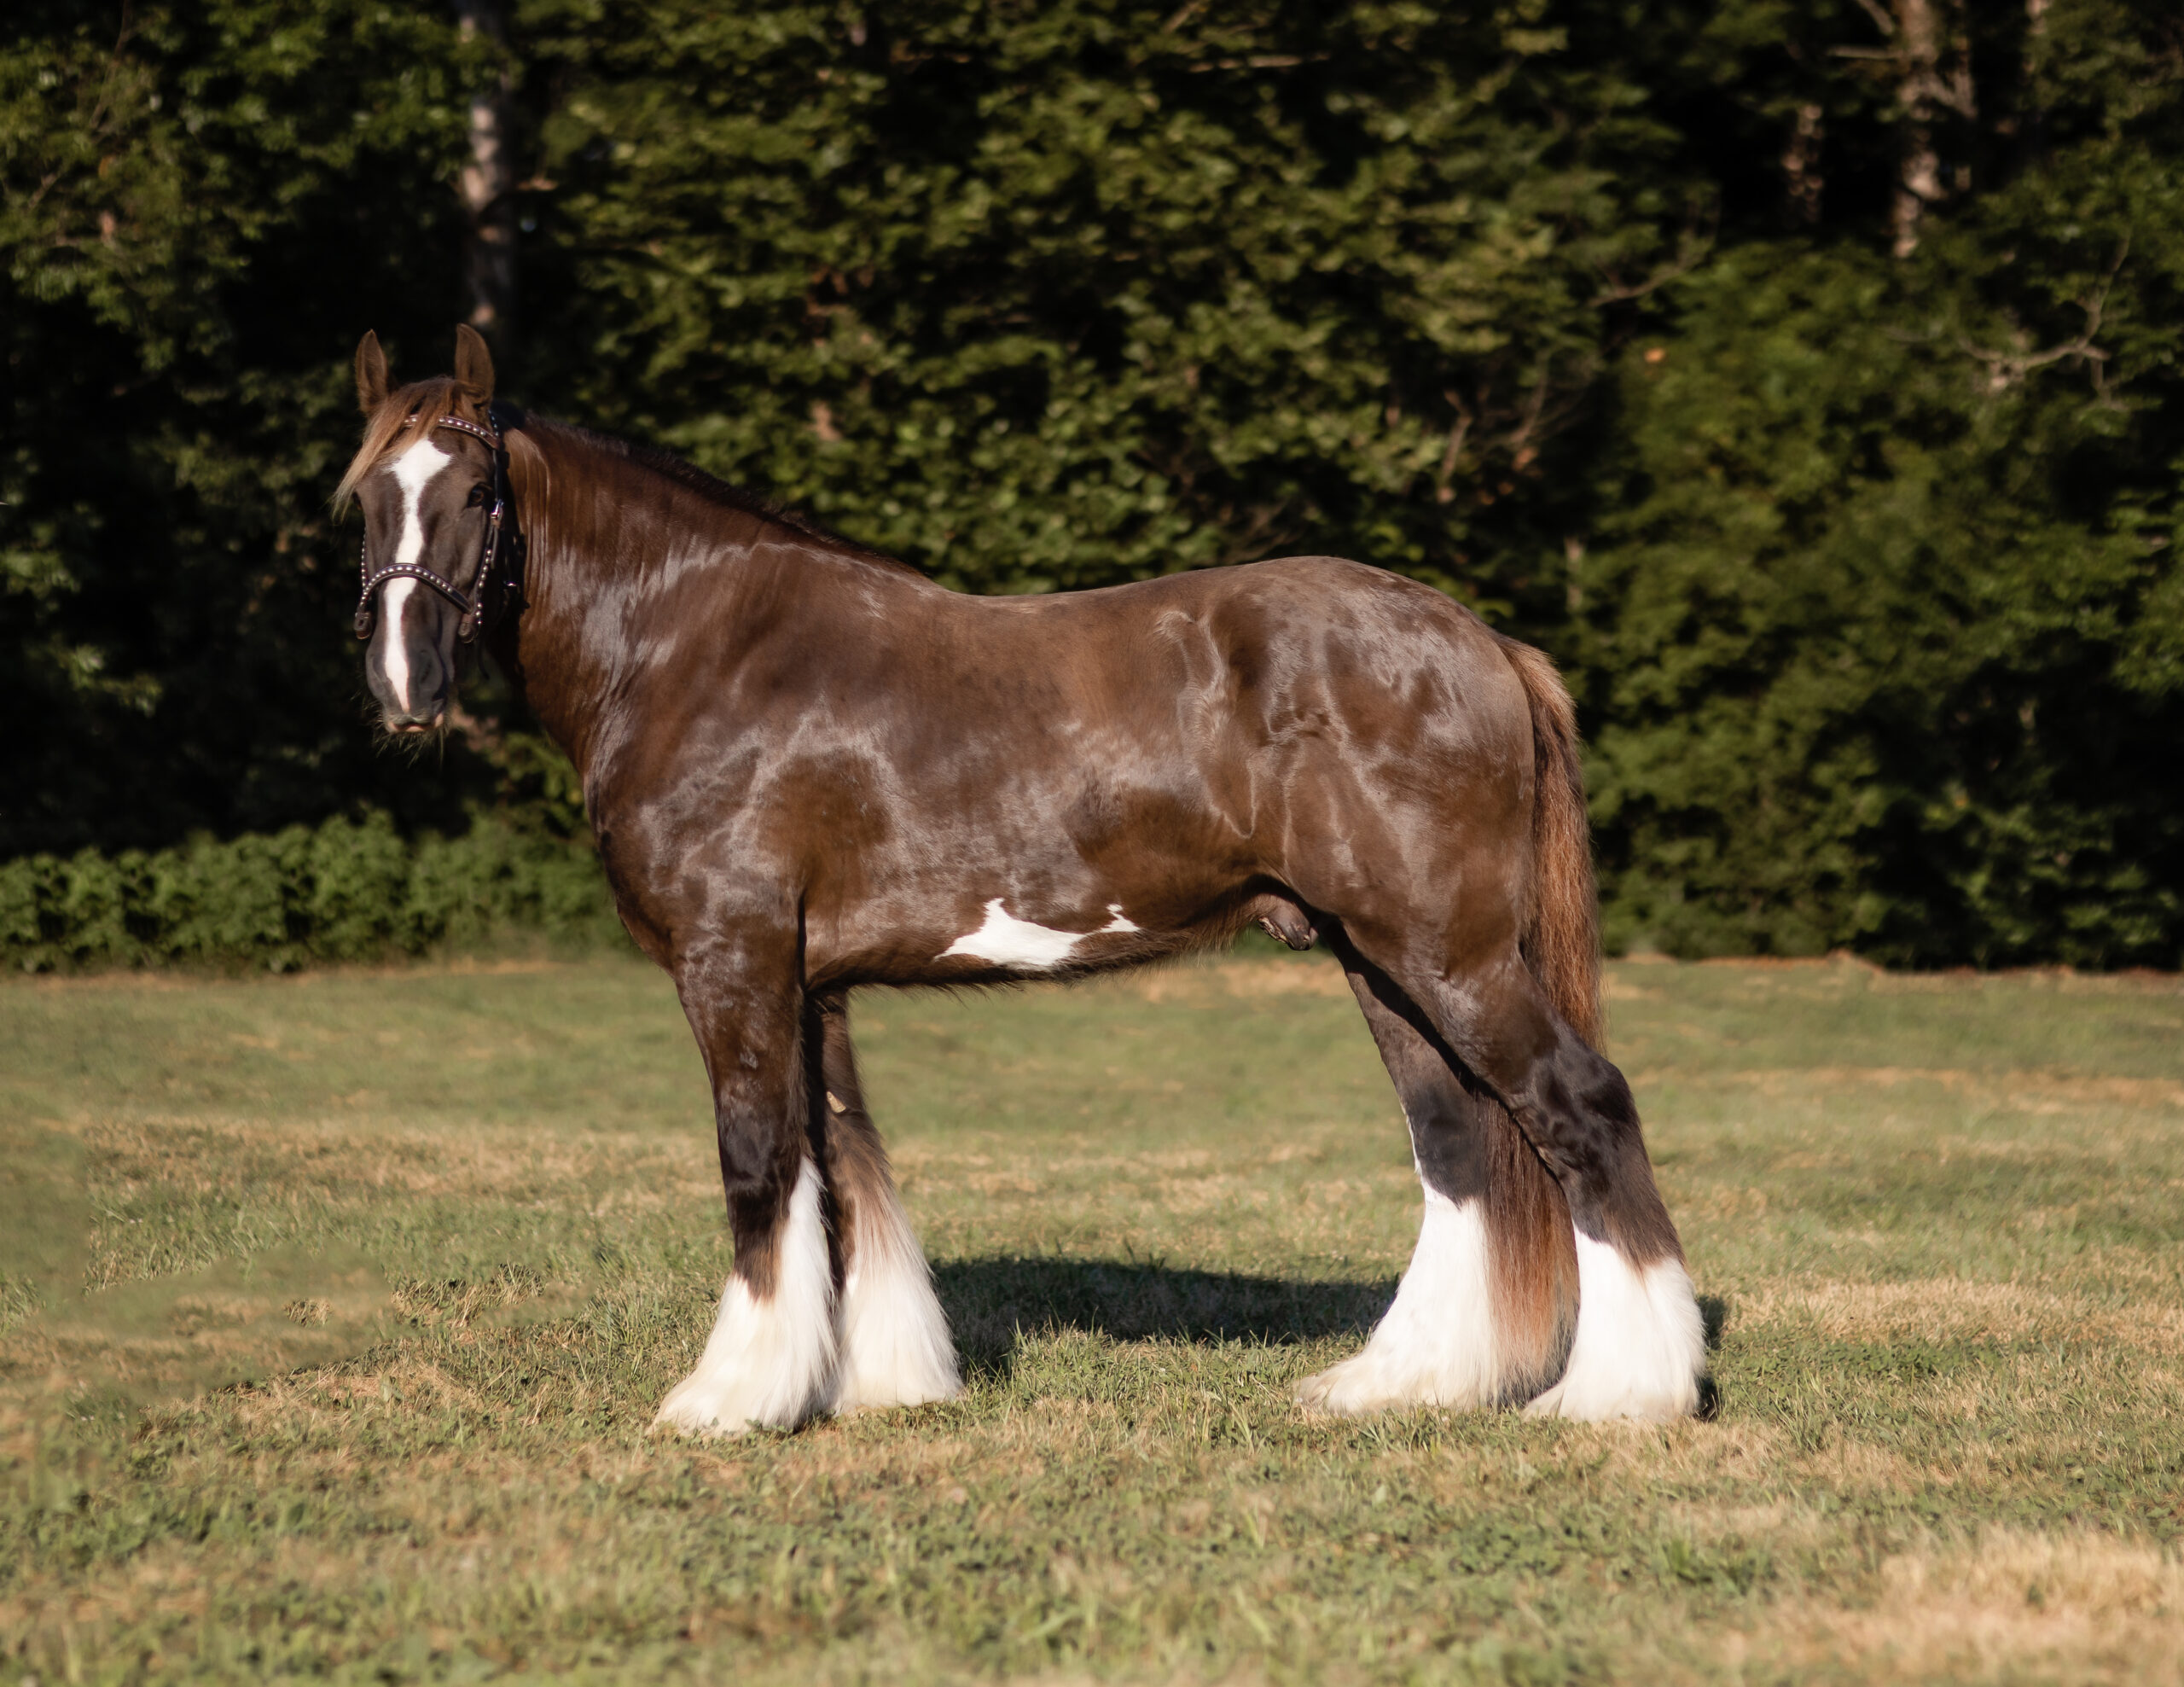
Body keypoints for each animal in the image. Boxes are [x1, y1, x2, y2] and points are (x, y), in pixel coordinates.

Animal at [337, 325, 1706, 1433]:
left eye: (475, 490)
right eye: (361, 504)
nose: (405, 688)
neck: (698, 650)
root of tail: (1485, 644)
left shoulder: (734, 962)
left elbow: (759, 1163)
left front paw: (728, 1400)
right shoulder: (811, 982)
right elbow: (843, 1173)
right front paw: (874, 1385)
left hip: (1450, 953)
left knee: (1580, 1107)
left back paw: (1624, 1393)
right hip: (1380, 957)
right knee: (1458, 1145)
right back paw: (1399, 1384)